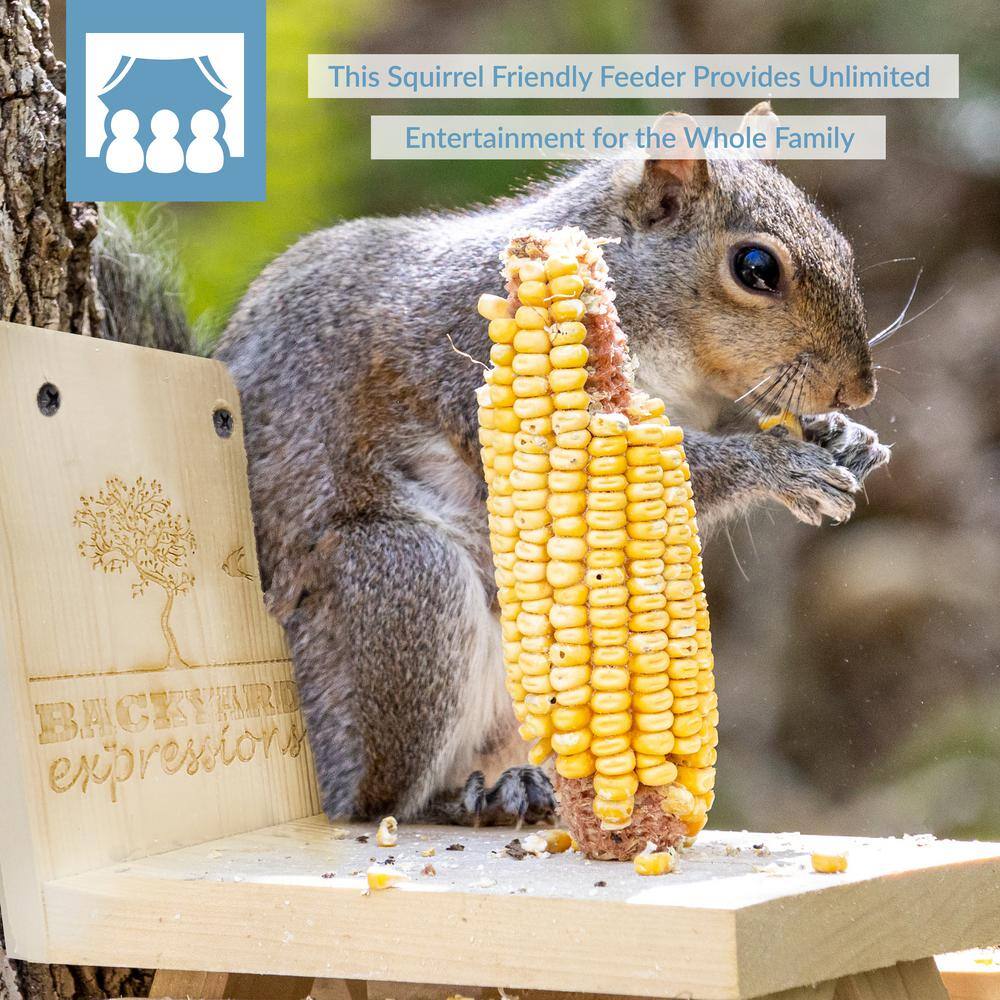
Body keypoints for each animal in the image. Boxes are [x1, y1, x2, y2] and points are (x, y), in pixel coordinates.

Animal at [214, 104, 891, 826]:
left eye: (842, 245)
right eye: (756, 267)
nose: (858, 390)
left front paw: (845, 439)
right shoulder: (473, 355)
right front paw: (779, 463)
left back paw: (520, 785)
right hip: (402, 583)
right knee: (378, 802)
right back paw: (458, 802)